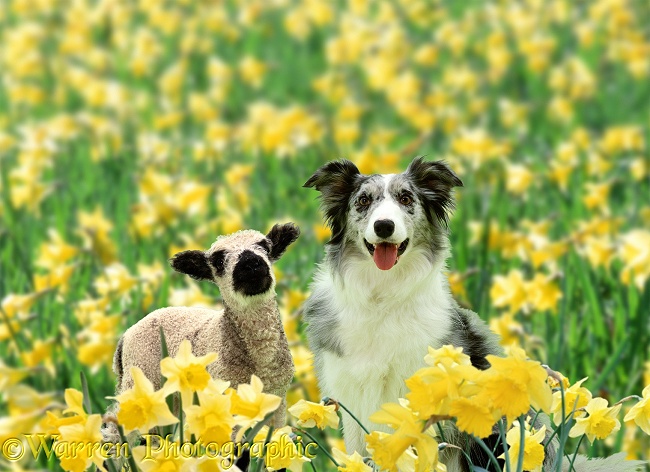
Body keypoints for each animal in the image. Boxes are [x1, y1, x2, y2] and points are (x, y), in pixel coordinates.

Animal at [103, 223, 298, 444]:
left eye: (265, 246)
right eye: (219, 261)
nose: (251, 263)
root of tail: (126, 335)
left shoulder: (277, 401)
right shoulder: (226, 398)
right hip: (140, 376)